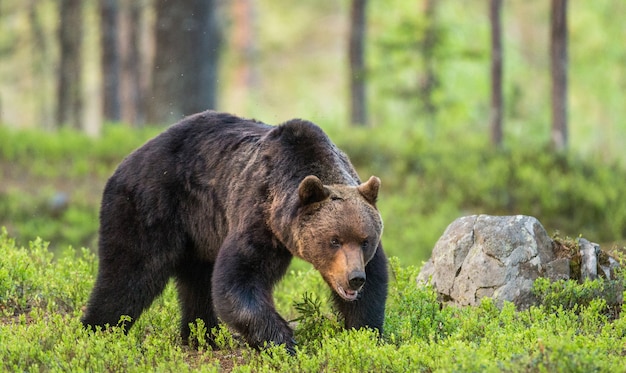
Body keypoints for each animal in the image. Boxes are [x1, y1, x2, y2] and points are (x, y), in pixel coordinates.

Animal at [80, 110, 388, 352]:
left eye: (365, 241)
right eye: (334, 240)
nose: (354, 278)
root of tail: (128, 159)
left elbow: (374, 285)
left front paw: (364, 334)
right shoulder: (258, 215)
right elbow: (239, 279)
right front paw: (284, 340)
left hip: (199, 234)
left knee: (196, 282)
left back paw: (202, 336)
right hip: (151, 205)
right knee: (130, 274)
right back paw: (98, 330)